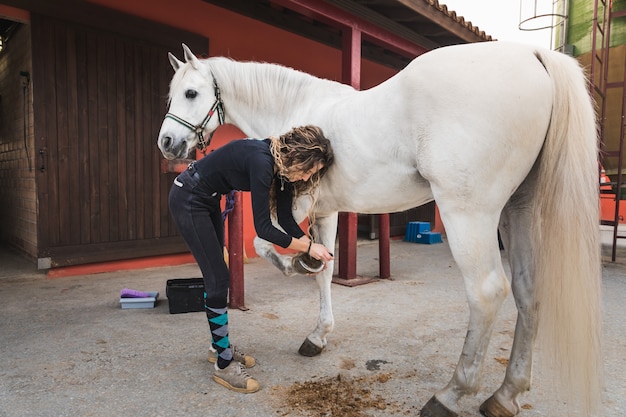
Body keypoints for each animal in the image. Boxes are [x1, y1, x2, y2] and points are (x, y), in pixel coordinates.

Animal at [156, 42, 600, 416]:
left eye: (191, 93)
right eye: (172, 95)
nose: (167, 143)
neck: (295, 109)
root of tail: (531, 54)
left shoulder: (294, 204)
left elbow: (263, 242)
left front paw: (294, 266)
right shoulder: (326, 211)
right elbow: (325, 271)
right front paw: (317, 334)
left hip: (470, 215)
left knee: (487, 293)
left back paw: (450, 395)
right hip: (516, 212)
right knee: (528, 292)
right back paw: (506, 395)